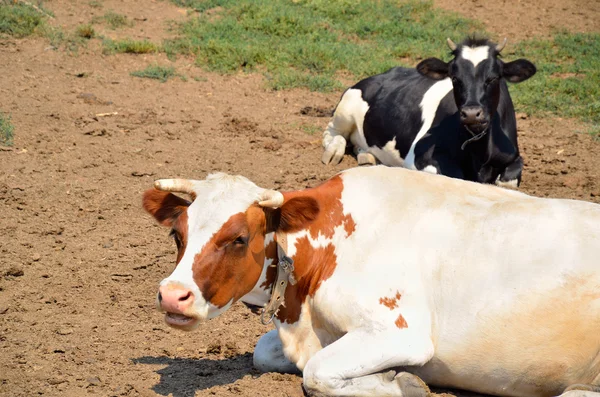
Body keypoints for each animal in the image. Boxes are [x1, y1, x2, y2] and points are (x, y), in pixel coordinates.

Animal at [143, 167, 600, 396]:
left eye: (239, 238)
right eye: (177, 235)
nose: (172, 295)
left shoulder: (401, 332)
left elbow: (317, 374)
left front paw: (405, 383)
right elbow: (265, 353)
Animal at [322, 37, 536, 186]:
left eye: (493, 78)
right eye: (454, 78)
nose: (471, 113)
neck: (479, 153)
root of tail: (381, 74)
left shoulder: (513, 156)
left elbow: (508, 180)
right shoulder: (419, 156)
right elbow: (455, 177)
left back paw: (366, 156)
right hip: (346, 107)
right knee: (332, 132)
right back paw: (333, 151)